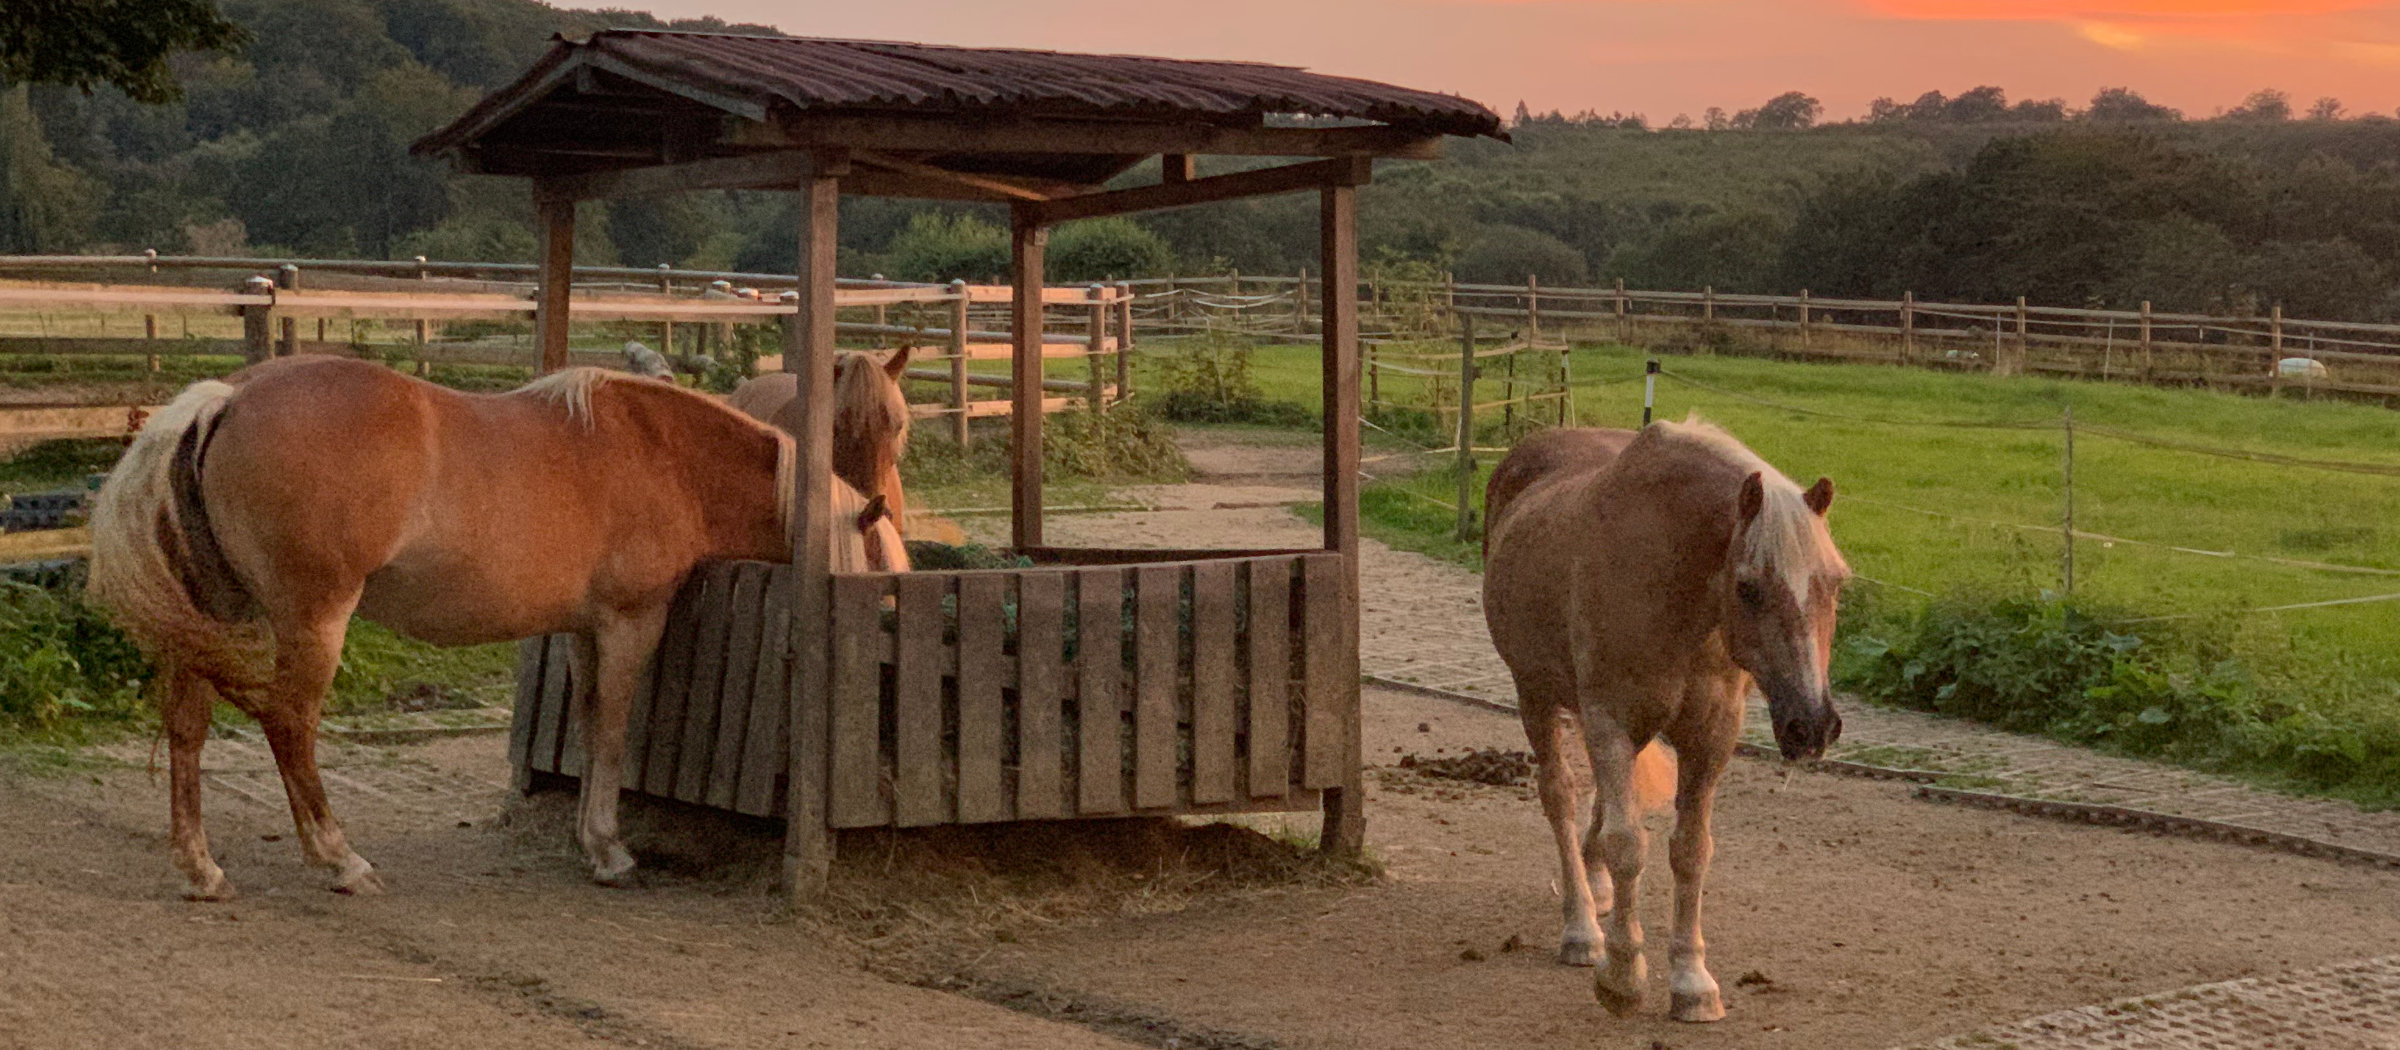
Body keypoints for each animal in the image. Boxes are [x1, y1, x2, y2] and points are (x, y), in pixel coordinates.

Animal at [1481, 417, 1847, 1023]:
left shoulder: (1710, 737)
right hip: (1535, 694)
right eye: (1748, 587)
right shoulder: (1609, 720)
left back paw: (1598, 887)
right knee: (1560, 797)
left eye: (1835, 582)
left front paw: (1693, 982)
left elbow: (1690, 850)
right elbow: (1630, 844)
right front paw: (1623, 978)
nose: (1812, 726)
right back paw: (1582, 926)